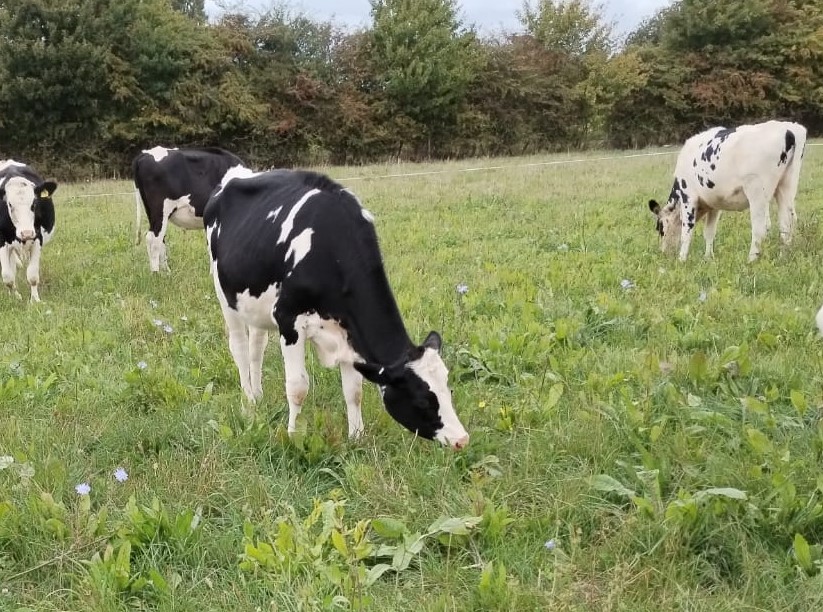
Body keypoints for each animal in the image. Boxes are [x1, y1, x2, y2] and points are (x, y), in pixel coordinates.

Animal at [0, 158, 57, 302]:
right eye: (9, 204)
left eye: (34, 203)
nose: (26, 233)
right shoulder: (1, 240)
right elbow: (7, 276)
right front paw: (15, 298)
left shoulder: (37, 237)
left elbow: (32, 275)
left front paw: (35, 300)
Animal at [204, 167, 470, 450]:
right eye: (422, 401)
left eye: (448, 387)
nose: (462, 439)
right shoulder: (289, 320)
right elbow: (297, 387)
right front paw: (294, 436)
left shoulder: (348, 333)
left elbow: (354, 391)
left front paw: (357, 437)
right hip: (225, 294)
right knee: (240, 348)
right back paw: (249, 403)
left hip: (255, 304)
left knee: (257, 347)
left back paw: (258, 395)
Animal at [648, 120, 808, 262]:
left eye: (660, 228)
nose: (663, 252)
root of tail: (789, 129)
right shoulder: (713, 204)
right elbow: (709, 232)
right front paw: (708, 257)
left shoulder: (688, 196)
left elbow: (686, 231)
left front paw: (682, 259)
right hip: (787, 185)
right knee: (787, 223)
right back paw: (783, 257)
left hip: (757, 191)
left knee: (760, 228)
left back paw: (751, 260)